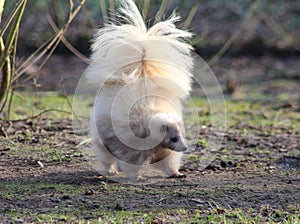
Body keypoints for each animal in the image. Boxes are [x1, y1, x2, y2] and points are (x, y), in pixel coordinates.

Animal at [86, 0, 195, 180]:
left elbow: (167, 160)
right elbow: (131, 159)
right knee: (106, 154)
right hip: (102, 134)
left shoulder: (162, 147)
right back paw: (111, 169)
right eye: (173, 138)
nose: (185, 148)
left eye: (181, 135)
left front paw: (176, 172)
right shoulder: (131, 140)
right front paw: (136, 176)